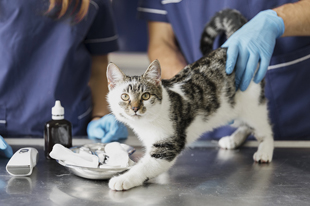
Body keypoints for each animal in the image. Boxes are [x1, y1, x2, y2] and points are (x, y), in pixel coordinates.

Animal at [106, 9, 274, 190]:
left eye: (145, 96)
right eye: (125, 96)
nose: (135, 108)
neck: (147, 123)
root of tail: (231, 48)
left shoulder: (168, 145)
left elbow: (145, 166)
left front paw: (123, 179)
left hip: (252, 103)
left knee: (264, 129)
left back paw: (265, 149)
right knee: (245, 124)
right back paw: (233, 139)